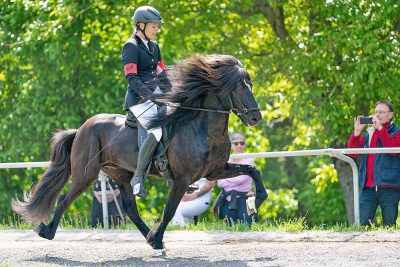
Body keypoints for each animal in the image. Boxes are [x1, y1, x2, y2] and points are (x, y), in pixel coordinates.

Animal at [12, 54, 268, 251]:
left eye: (251, 84)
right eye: (237, 87)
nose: (255, 118)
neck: (203, 129)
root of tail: (81, 128)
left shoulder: (215, 171)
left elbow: (252, 170)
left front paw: (255, 201)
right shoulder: (182, 179)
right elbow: (169, 210)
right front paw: (159, 235)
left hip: (121, 174)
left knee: (130, 208)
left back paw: (150, 239)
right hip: (86, 174)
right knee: (66, 199)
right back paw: (46, 231)